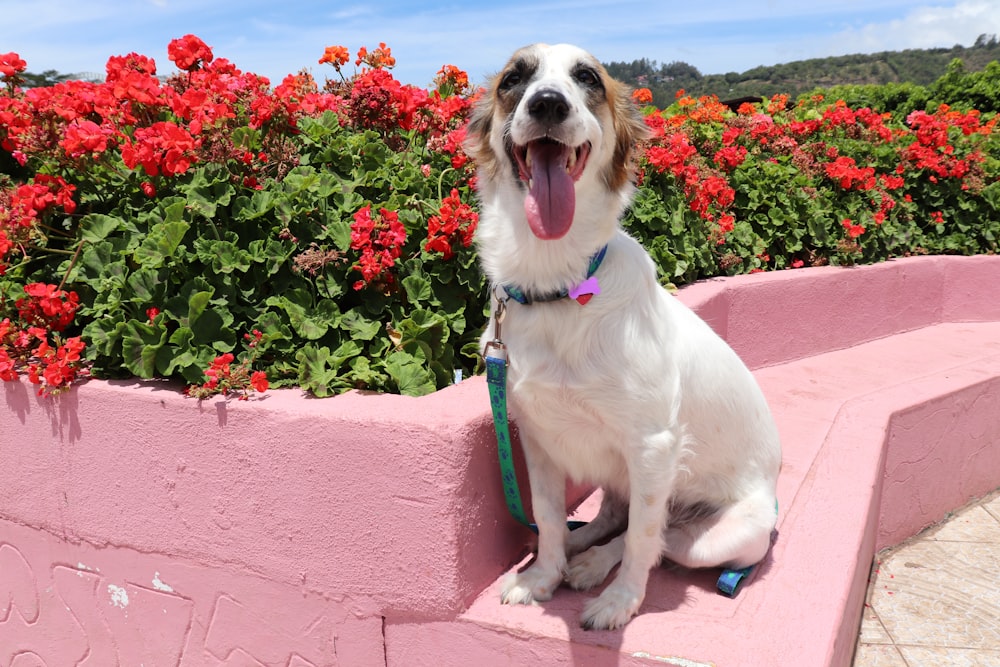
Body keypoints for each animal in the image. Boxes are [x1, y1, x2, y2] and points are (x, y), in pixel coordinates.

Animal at [464, 45, 784, 632]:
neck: (558, 286)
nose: (547, 103)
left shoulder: (654, 444)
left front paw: (620, 601)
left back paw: (595, 565)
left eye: (587, 78)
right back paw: (581, 547)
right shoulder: (537, 439)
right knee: (614, 514)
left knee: (660, 537)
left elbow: (641, 539)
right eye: (514, 79)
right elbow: (548, 516)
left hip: (726, 537)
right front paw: (542, 577)